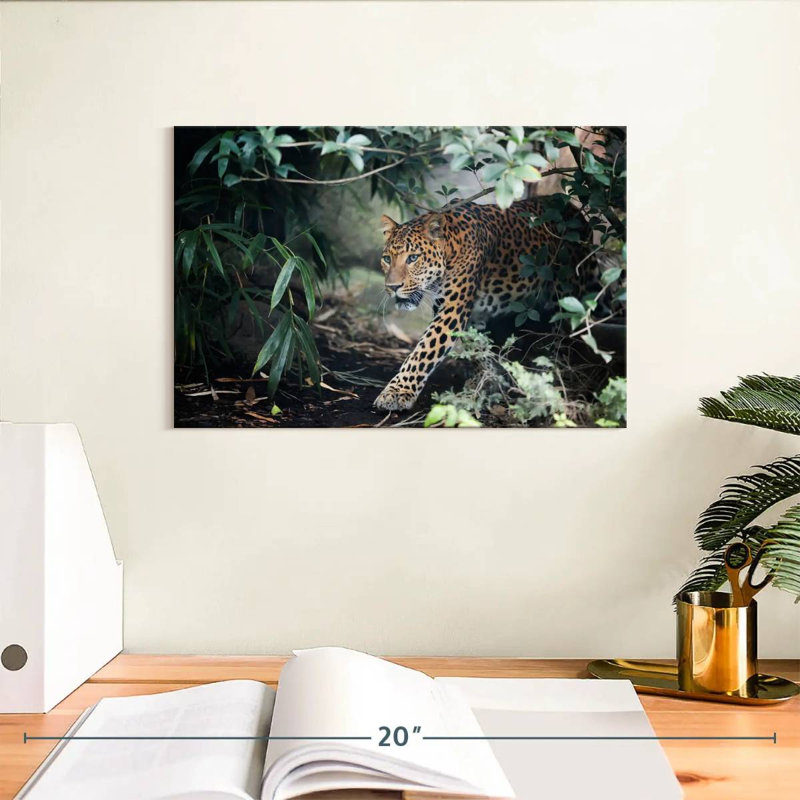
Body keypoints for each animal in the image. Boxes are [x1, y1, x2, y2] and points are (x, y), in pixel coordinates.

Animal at [374, 198, 588, 411]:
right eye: (387, 259)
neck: (451, 248)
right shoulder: (467, 313)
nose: (392, 287)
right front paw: (486, 379)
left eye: (413, 258)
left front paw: (397, 392)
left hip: (567, 295)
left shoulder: (451, 311)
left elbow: (423, 352)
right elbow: (477, 347)